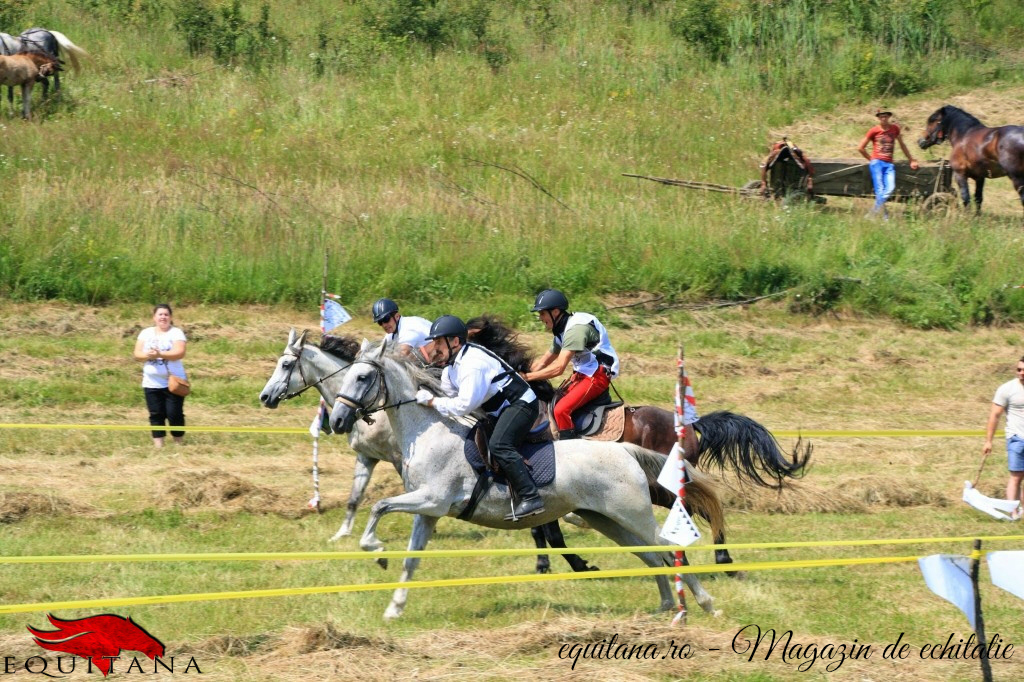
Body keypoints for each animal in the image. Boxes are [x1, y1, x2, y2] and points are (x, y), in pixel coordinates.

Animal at [327, 342, 720, 618]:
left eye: (362, 377)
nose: (337, 420)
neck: (428, 431)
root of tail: (623, 450)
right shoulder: (428, 511)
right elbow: (410, 559)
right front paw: (394, 607)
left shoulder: (432, 499)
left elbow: (379, 506)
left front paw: (377, 551)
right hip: (605, 518)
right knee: (651, 554)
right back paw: (667, 606)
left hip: (632, 512)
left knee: (667, 545)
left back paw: (705, 603)